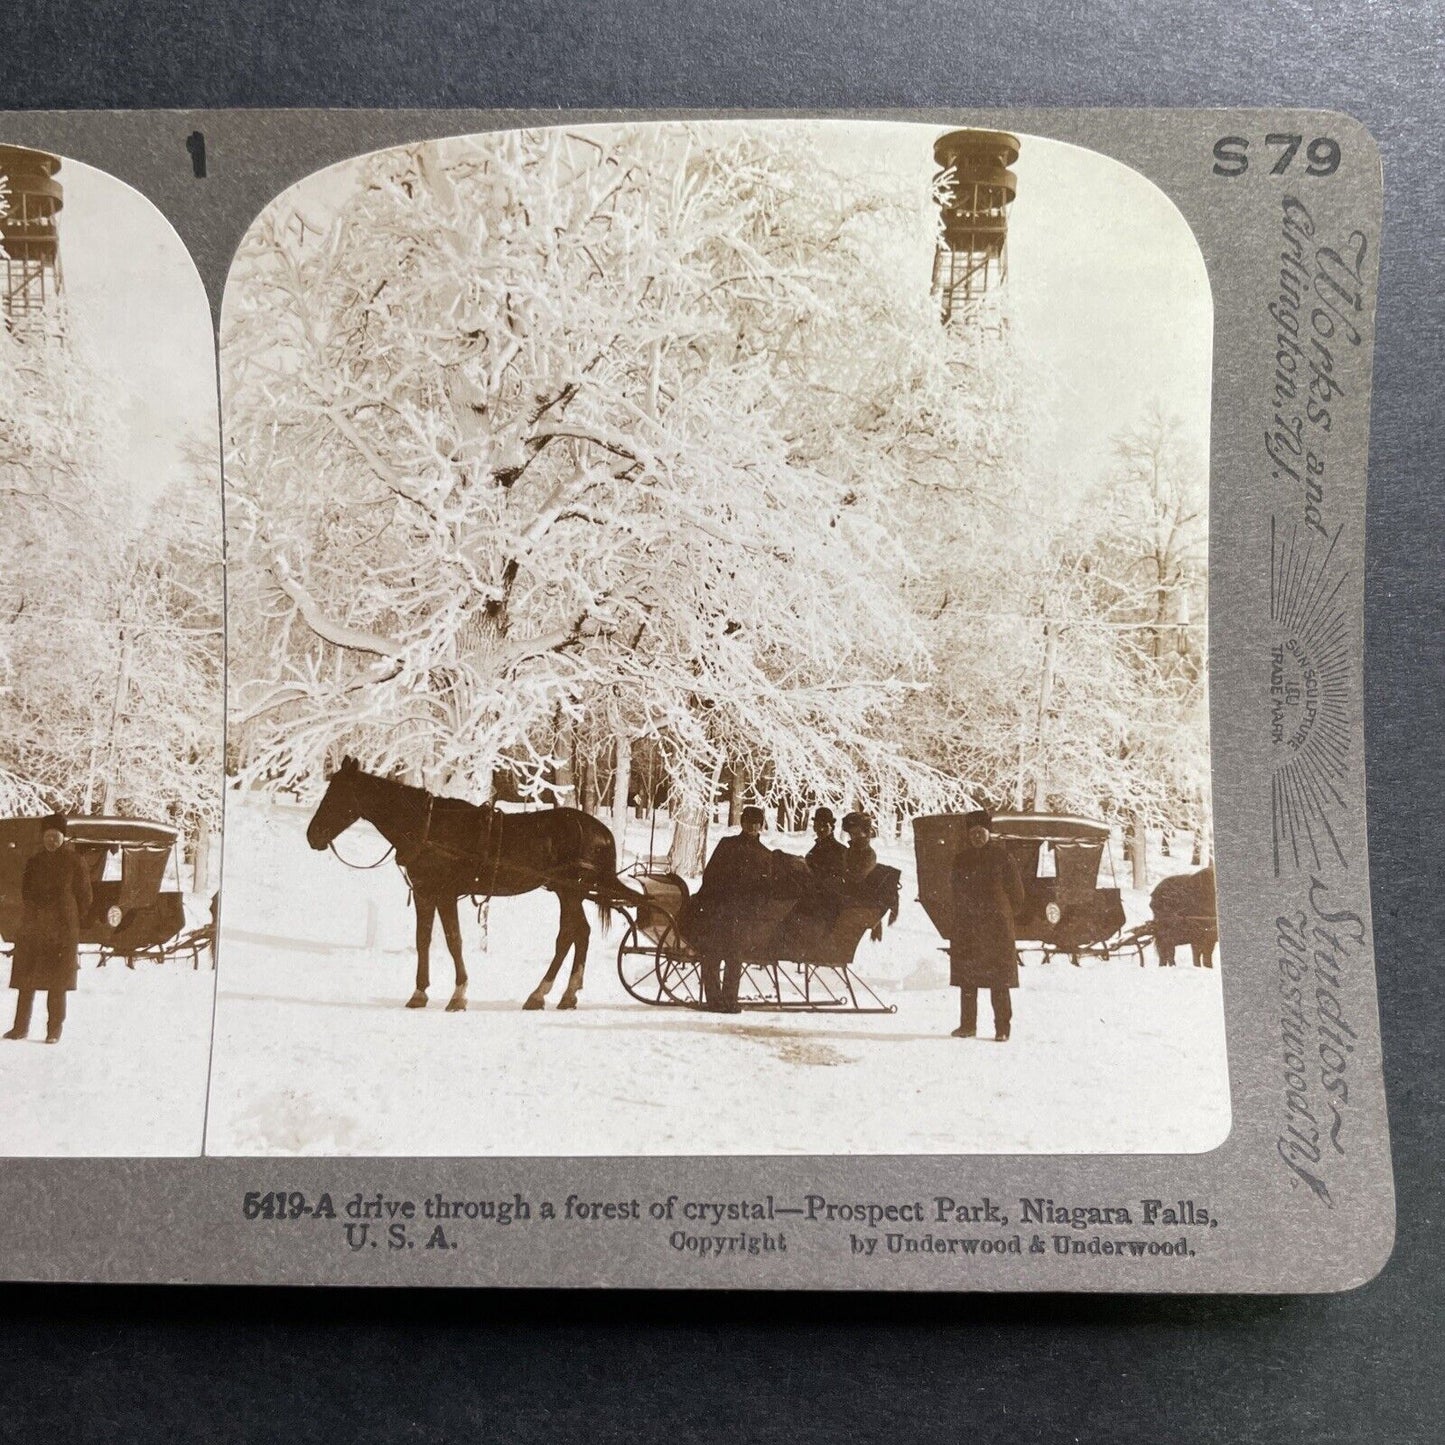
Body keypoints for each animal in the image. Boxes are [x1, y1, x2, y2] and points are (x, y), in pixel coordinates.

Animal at [304, 762, 644, 1011]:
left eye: (337, 795)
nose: (312, 835)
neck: (428, 829)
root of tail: (599, 829)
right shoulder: (425, 894)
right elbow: (423, 940)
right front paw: (419, 993)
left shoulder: (445, 895)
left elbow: (454, 941)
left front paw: (458, 995)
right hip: (567, 892)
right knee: (578, 934)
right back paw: (562, 995)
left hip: (571, 892)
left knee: (570, 936)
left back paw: (543, 993)